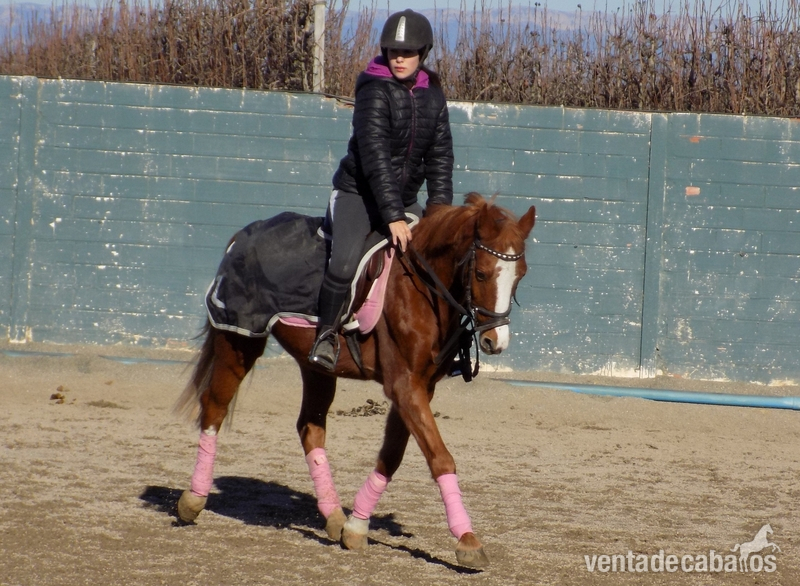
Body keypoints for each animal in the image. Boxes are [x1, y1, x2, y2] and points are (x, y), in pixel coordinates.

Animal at [174, 192, 536, 568]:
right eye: (480, 273)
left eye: (520, 275)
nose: (495, 341)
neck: (421, 288)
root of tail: (246, 233)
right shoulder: (404, 384)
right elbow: (439, 456)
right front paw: (468, 540)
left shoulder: (420, 386)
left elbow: (392, 455)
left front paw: (356, 527)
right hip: (240, 340)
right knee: (214, 406)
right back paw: (193, 500)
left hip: (315, 366)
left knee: (310, 427)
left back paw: (333, 516)